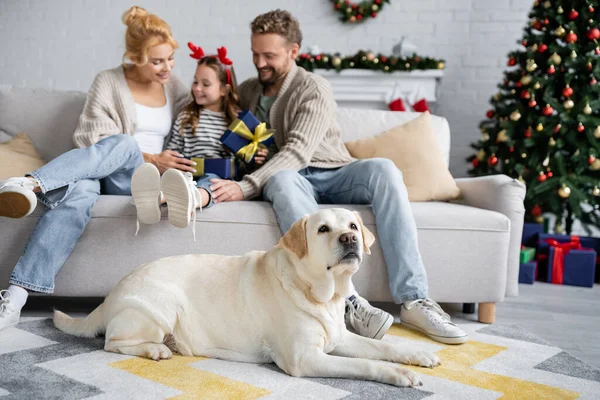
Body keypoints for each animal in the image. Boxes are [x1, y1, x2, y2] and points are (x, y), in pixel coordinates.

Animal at [55, 208, 440, 386]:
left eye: (353, 225)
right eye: (323, 229)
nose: (350, 240)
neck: (320, 293)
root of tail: (111, 294)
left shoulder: (339, 337)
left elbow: (383, 346)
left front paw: (417, 353)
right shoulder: (303, 359)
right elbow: (364, 364)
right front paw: (398, 374)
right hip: (162, 307)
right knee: (112, 342)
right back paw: (156, 349)